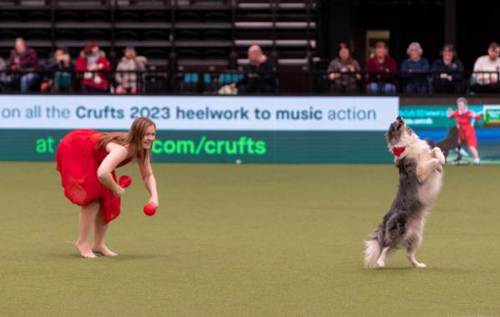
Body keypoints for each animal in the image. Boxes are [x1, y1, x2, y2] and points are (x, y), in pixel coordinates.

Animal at [364, 117, 446, 268]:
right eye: (394, 125)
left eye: (398, 121)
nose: (399, 117)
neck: (408, 144)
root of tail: (385, 221)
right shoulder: (419, 173)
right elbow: (432, 161)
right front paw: (438, 165)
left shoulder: (427, 153)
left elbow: (436, 150)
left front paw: (441, 162)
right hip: (399, 230)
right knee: (385, 247)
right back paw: (380, 262)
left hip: (416, 236)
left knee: (408, 254)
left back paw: (418, 265)